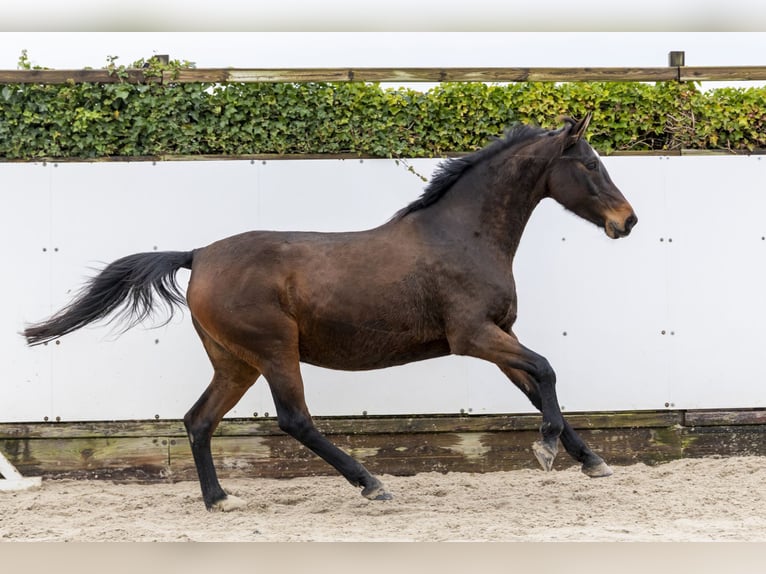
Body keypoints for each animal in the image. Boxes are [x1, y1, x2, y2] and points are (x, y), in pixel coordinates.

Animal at [23, 114, 637, 511]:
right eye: (589, 165)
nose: (627, 221)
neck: (463, 235)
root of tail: (198, 254)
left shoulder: (499, 335)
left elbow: (537, 385)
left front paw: (590, 460)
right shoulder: (474, 336)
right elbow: (547, 370)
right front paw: (547, 449)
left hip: (235, 362)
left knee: (198, 419)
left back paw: (220, 500)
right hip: (274, 350)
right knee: (294, 419)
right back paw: (371, 484)